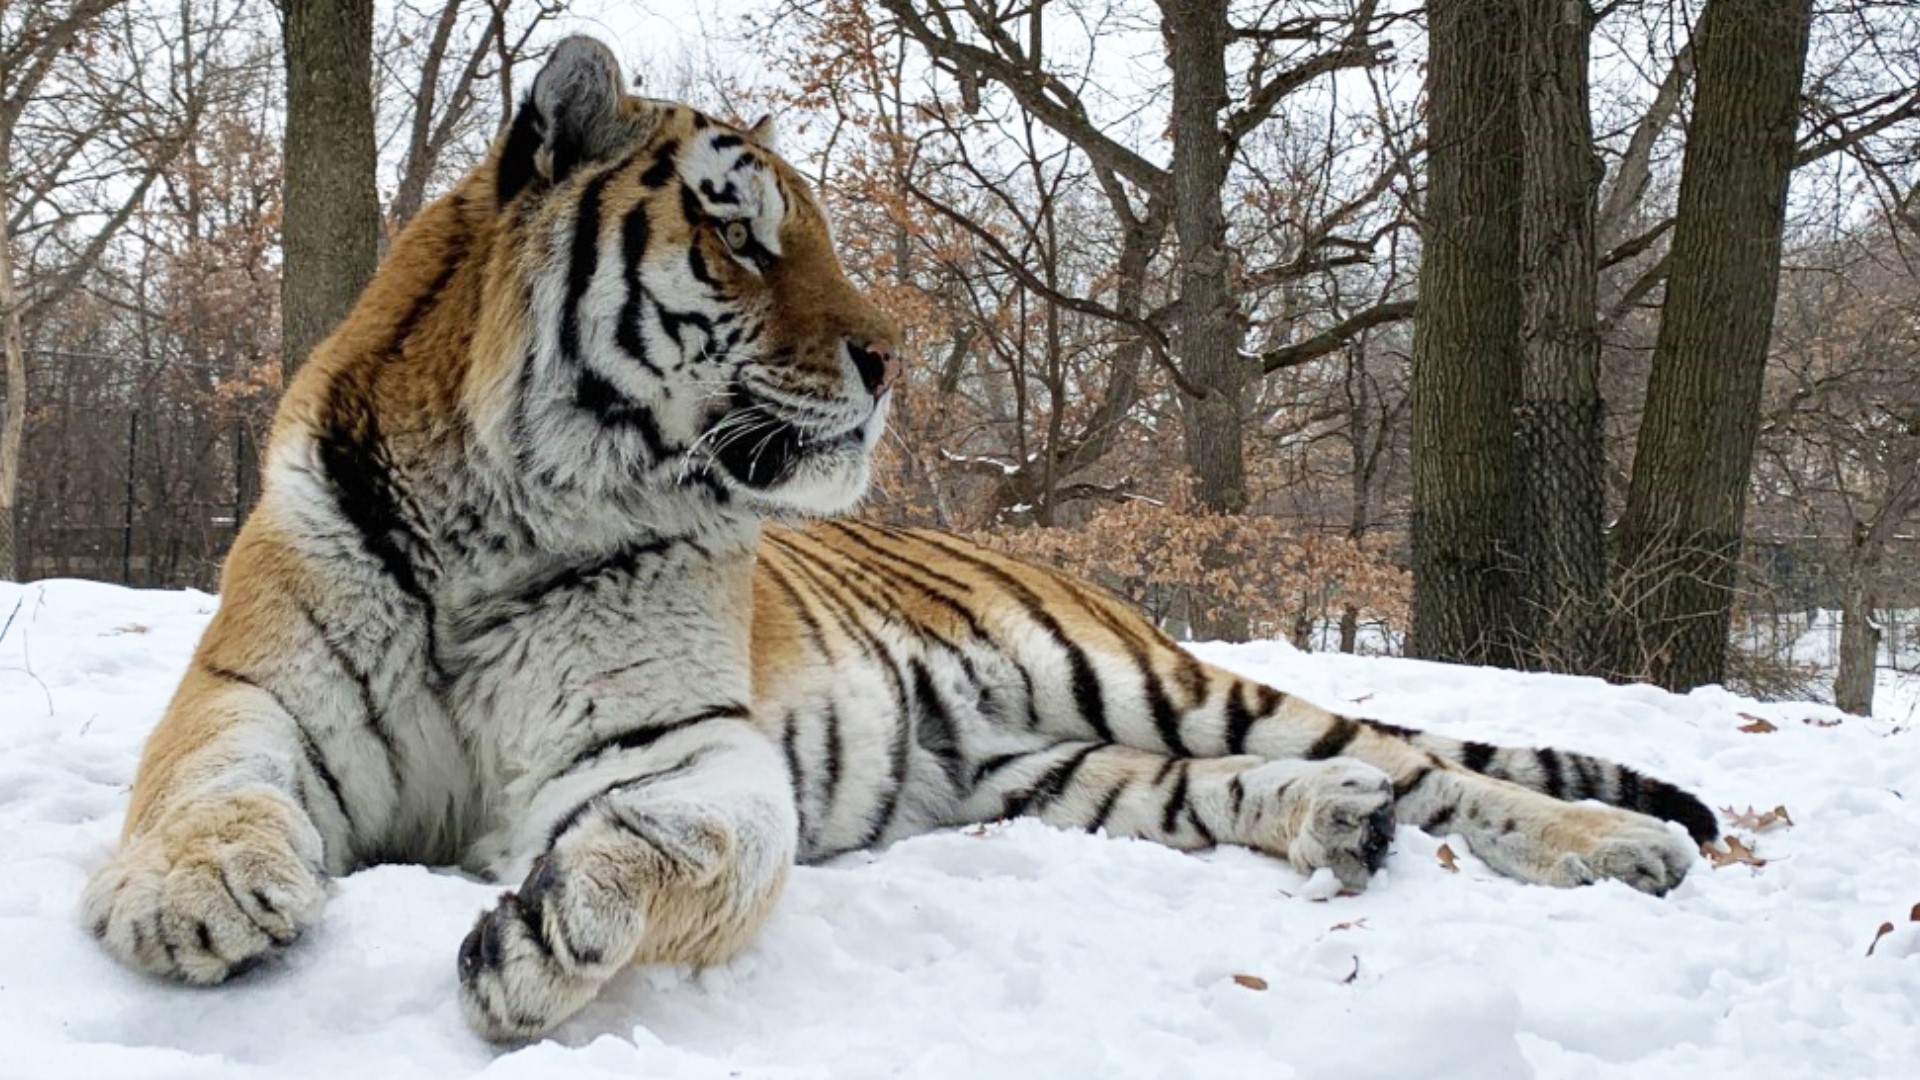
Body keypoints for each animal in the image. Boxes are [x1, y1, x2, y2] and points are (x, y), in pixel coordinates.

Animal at [82, 37, 1720, 1037]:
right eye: (740, 231)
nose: (890, 358)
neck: (507, 512)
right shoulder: (252, 689)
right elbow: (207, 789)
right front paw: (193, 900)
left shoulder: (676, 747)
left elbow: (682, 844)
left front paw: (552, 936)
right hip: (1043, 772)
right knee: (1256, 788)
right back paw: (1338, 826)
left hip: (1149, 681)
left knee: (1428, 765)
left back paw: (1622, 844)